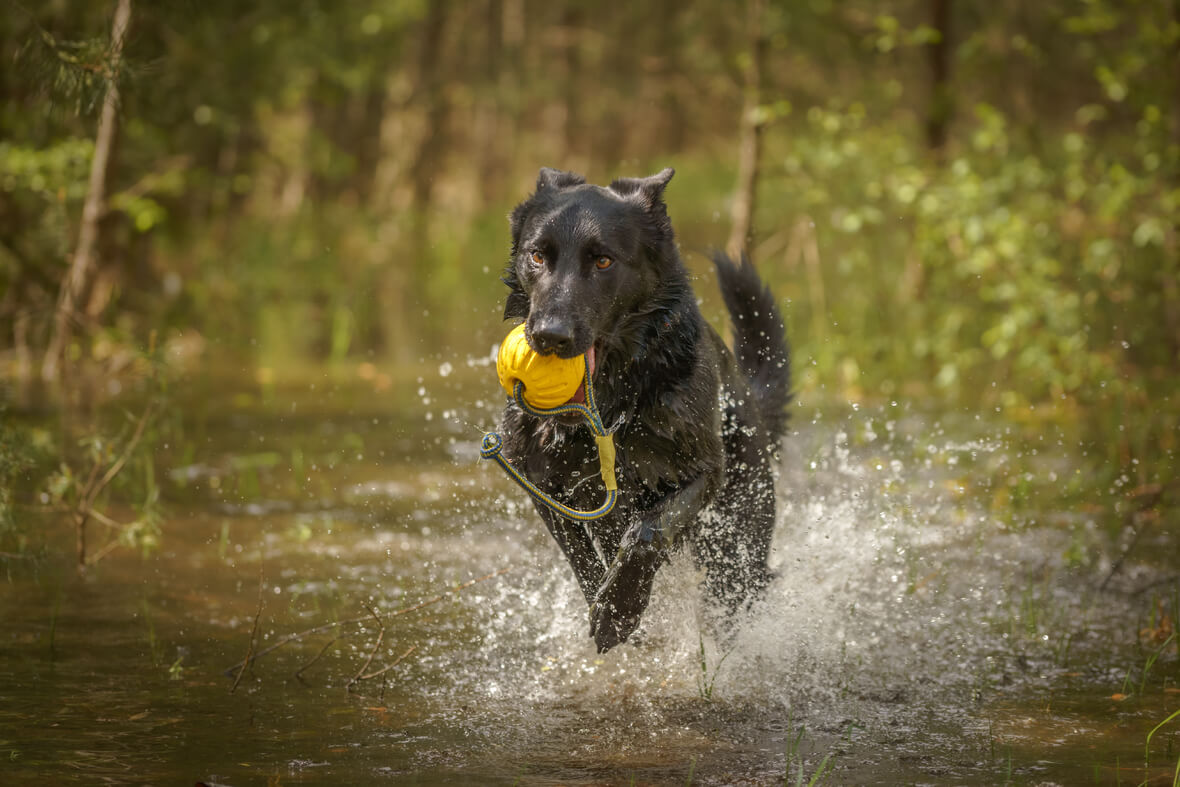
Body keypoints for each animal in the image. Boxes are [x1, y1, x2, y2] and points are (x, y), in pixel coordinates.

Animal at [497, 167, 792, 651]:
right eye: (537, 256)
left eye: (603, 262)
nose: (548, 336)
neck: (612, 407)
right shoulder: (542, 482)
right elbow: (581, 557)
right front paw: (608, 606)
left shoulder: (703, 472)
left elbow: (647, 532)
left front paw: (620, 610)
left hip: (736, 549)